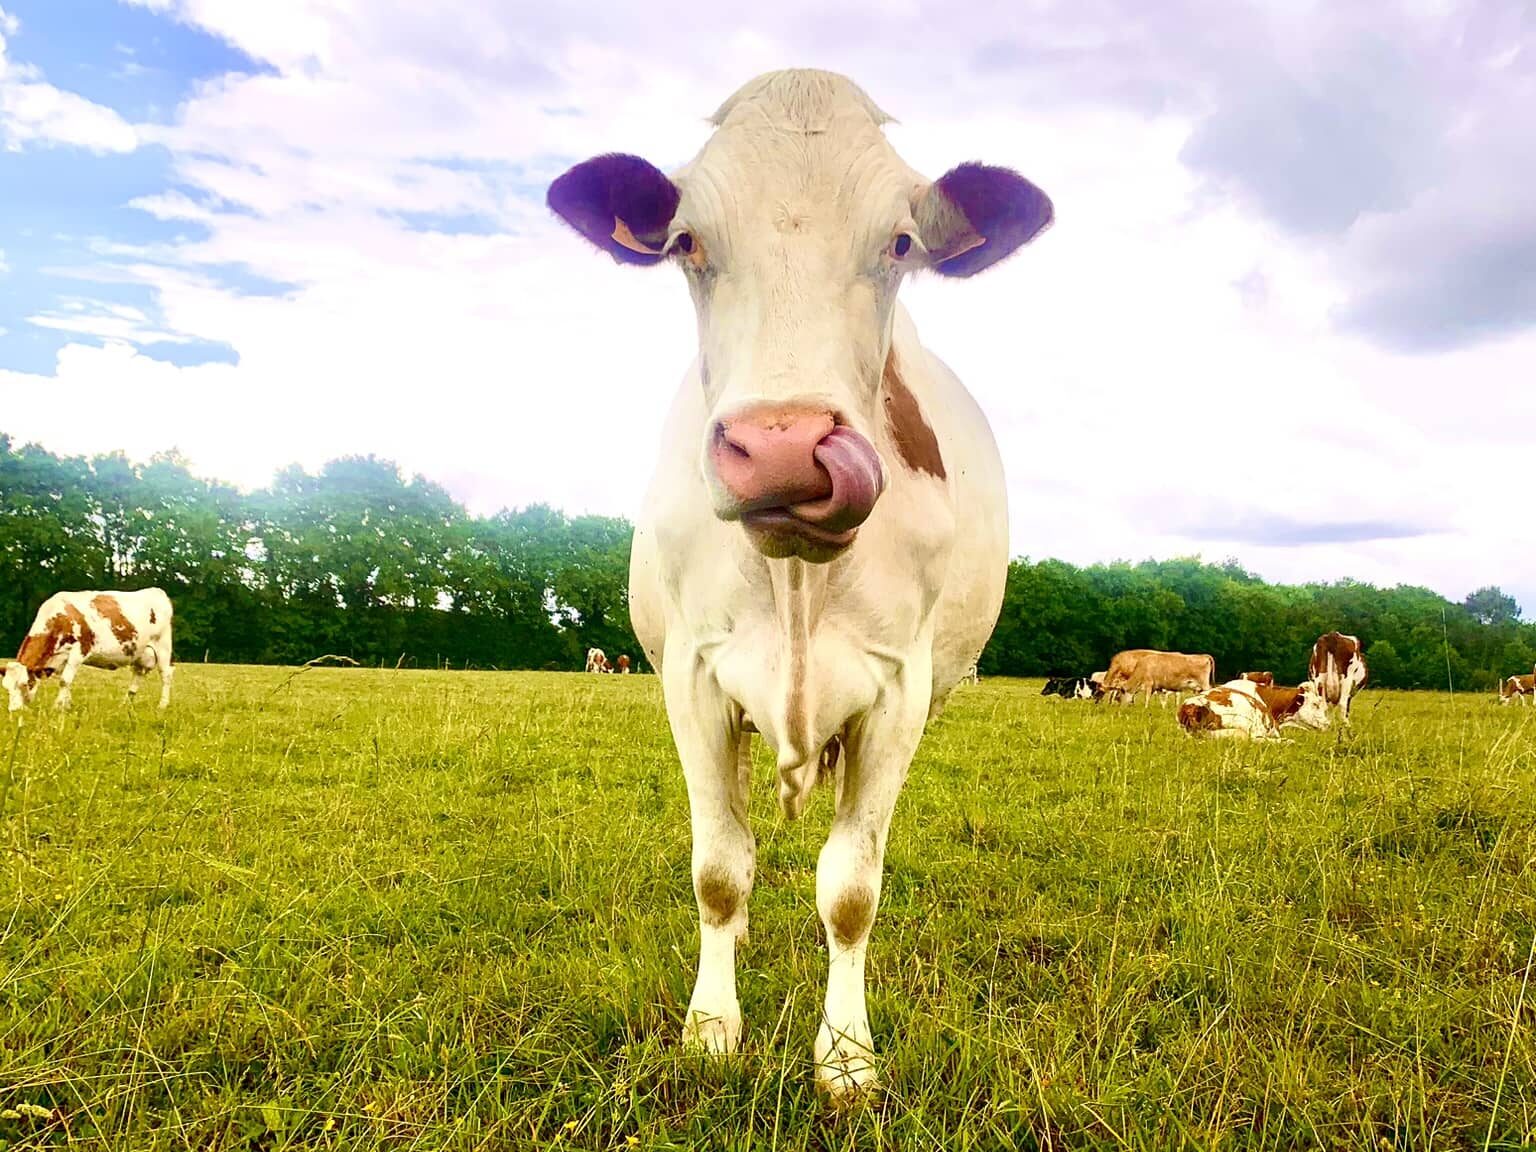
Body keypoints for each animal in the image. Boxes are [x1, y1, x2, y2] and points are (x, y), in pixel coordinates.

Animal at [5, 588, 174, 712]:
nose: (14, 710)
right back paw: (125, 704)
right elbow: (66, 682)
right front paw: (67, 705)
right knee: (138, 674)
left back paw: (162, 705)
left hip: (163, 647)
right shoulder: (60, 659)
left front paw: (57, 707)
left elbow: (64, 681)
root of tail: (156, 591)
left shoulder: (79, 651)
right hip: (140, 652)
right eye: (6, 687)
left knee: (166, 675)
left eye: (26, 684)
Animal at [548, 69, 1052, 1096]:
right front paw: (711, 1027)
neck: (794, 580)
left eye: (900, 242)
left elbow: (851, 890)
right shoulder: (691, 677)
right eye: (686, 242)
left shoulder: (900, 691)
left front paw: (847, 1056)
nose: (783, 448)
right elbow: (718, 870)